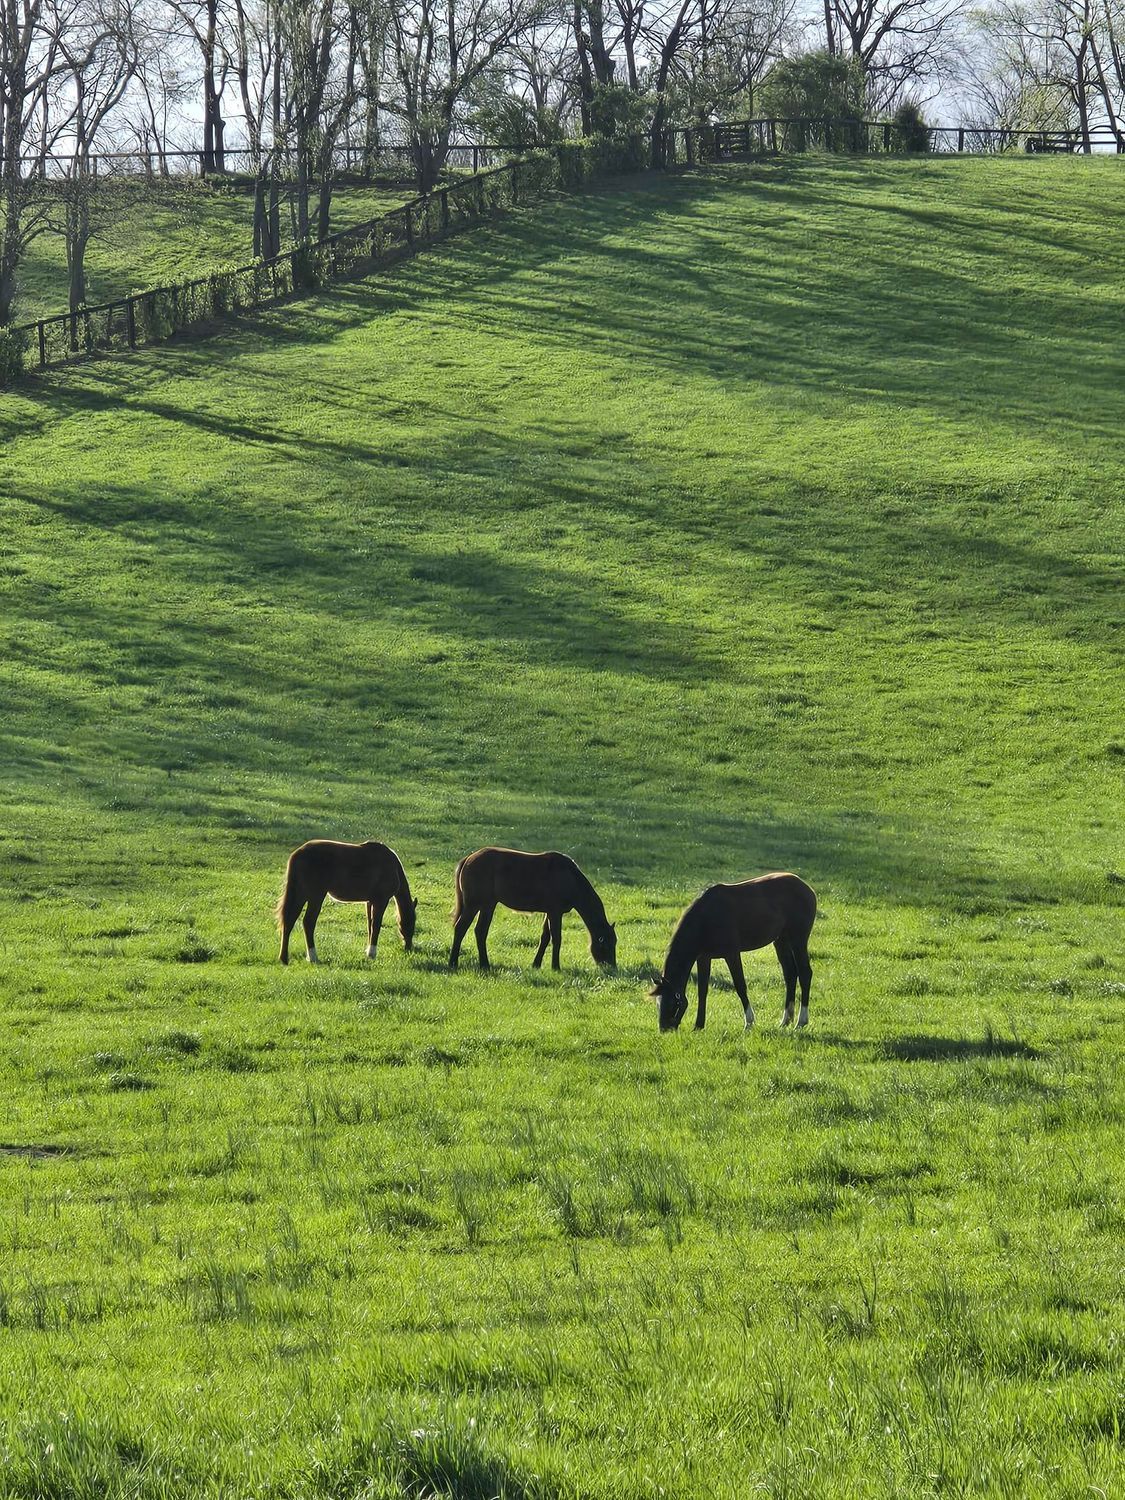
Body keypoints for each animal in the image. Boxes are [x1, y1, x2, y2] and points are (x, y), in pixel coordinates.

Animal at [276, 840, 417, 964]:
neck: (392, 865)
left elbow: (370, 925)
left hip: (301, 895)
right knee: (308, 922)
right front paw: (372, 953)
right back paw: (313, 957)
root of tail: (297, 854)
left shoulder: (369, 902)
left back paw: (284, 958)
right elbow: (376, 926)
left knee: (289, 922)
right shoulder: (381, 901)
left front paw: (368, 951)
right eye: (411, 923)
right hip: (315, 896)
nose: (409, 947)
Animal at [448, 848, 617, 971]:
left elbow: (545, 937)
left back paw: (484, 964)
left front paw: (536, 964)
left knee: (480, 931)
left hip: (487, 905)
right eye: (606, 946)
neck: (570, 878)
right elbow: (556, 938)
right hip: (474, 905)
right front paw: (556, 967)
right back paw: (453, 962)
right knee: (461, 928)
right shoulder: (555, 913)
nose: (612, 968)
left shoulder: (549, 913)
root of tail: (469, 858)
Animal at [650, 873, 816, 1032]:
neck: (706, 918)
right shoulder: (703, 958)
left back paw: (801, 1022)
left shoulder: (732, 954)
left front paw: (749, 1022)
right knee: (790, 974)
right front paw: (698, 1026)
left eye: (672, 1002)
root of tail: (806, 888)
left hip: (798, 940)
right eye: (658, 1003)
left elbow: (740, 985)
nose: (664, 1029)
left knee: (805, 973)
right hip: (781, 941)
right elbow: (702, 990)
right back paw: (785, 1020)